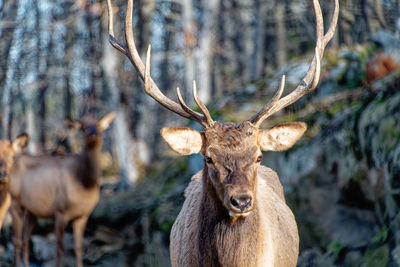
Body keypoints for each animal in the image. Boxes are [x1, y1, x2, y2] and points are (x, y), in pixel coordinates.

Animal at [9, 112, 115, 267]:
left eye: (98, 124)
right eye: (82, 126)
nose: (92, 132)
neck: (85, 184)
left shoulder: (83, 215)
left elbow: (79, 247)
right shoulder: (60, 211)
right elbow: (60, 248)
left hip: (32, 212)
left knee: (25, 241)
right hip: (15, 203)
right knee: (16, 241)